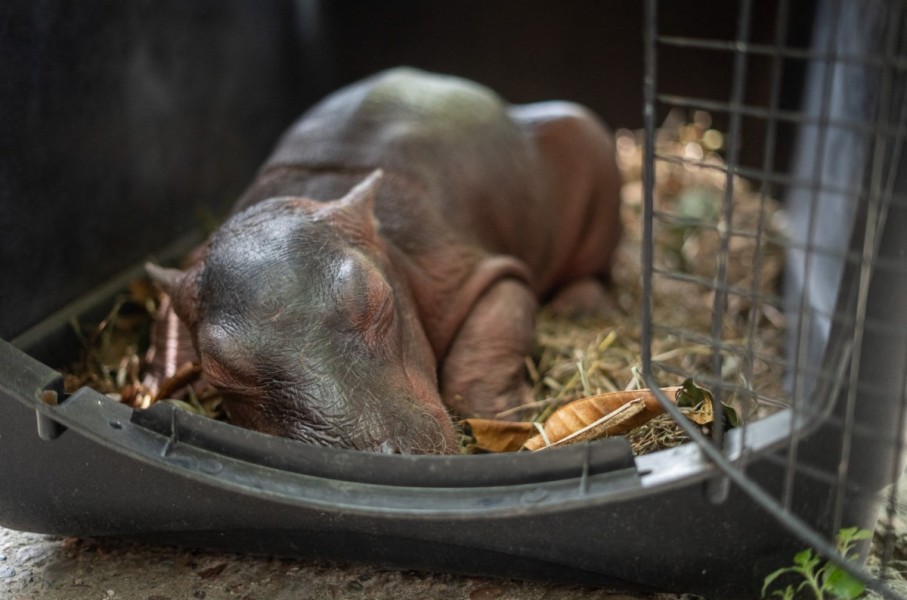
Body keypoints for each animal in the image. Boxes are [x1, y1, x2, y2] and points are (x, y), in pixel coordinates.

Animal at [147, 68, 621, 454]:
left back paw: (579, 308)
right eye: (220, 374)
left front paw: (510, 416)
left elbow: (492, 323)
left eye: (377, 300)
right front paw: (160, 387)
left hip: (585, 150)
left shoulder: (453, 266)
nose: (378, 452)